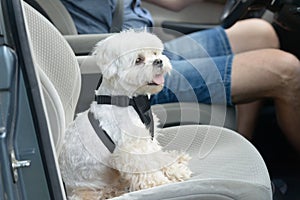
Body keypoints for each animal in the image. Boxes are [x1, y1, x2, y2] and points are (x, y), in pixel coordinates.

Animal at [57, 30, 191, 200]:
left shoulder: (147, 140)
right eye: (138, 60)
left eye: (154, 53)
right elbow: (146, 166)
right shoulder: (132, 148)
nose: (159, 61)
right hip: (89, 191)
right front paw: (159, 182)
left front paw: (175, 169)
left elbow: (158, 157)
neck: (130, 100)